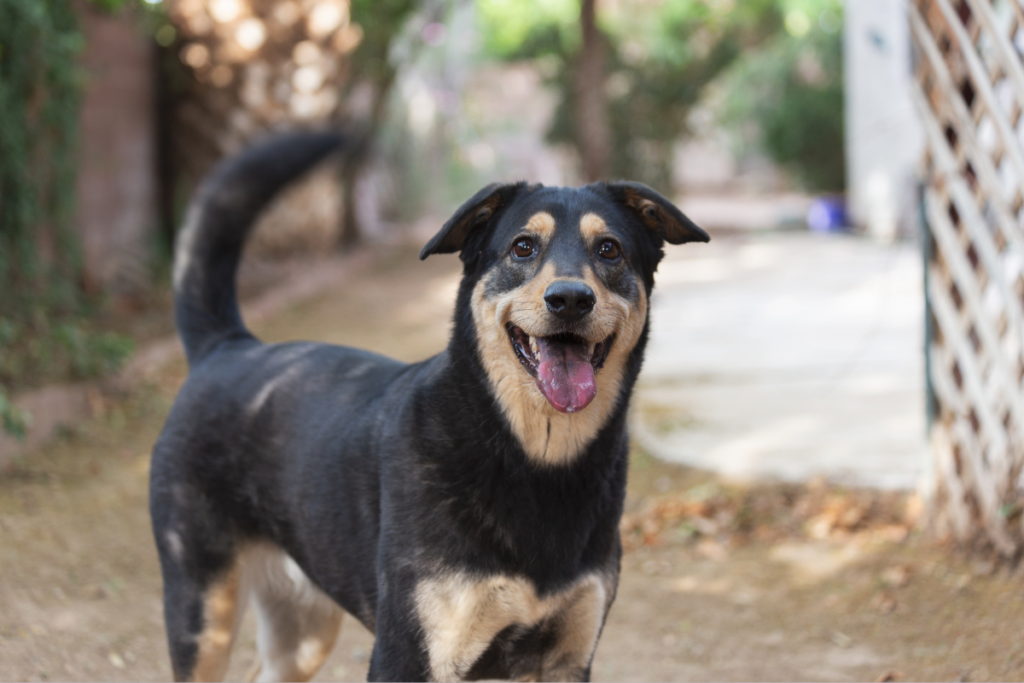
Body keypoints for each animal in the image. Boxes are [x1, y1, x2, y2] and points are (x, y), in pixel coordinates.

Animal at [151, 131, 708, 679]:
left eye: (609, 250)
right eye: (523, 246)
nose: (570, 298)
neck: (532, 456)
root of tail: (228, 346)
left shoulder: (568, 657)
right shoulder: (406, 655)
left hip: (303, 633)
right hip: (203, 613)